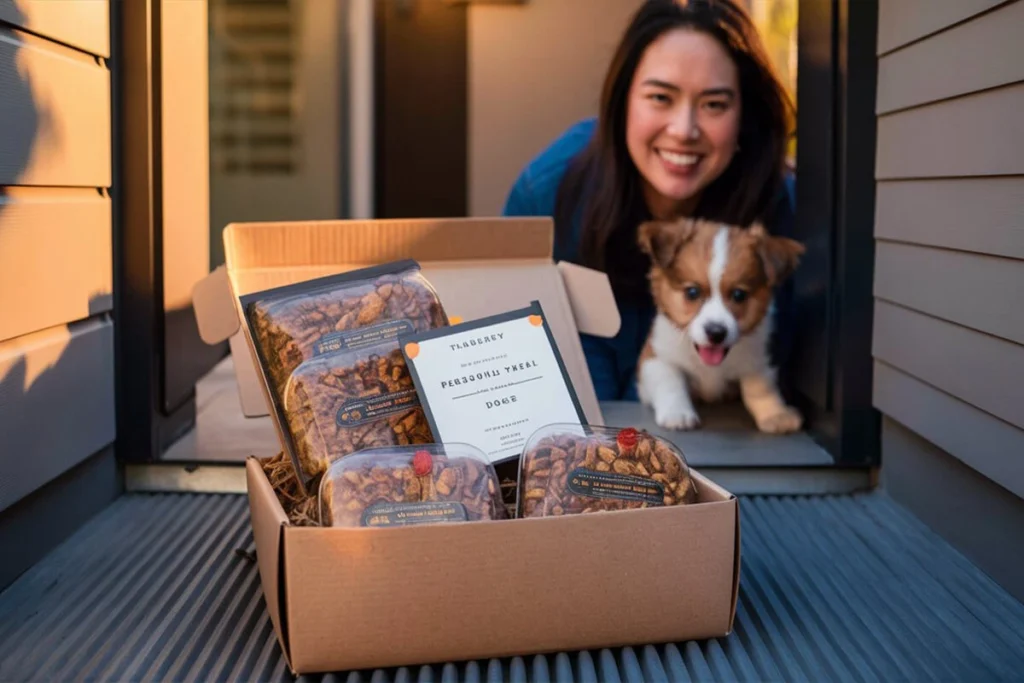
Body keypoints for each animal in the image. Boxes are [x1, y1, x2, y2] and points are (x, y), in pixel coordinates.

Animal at [630, 216, 806, 436]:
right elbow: (670, 381)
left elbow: (760, 387)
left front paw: (774, 413)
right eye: (692, 292)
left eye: (739, 295)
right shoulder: (655, 357)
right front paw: (678, 413)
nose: (716, 333)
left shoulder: (757, 360)